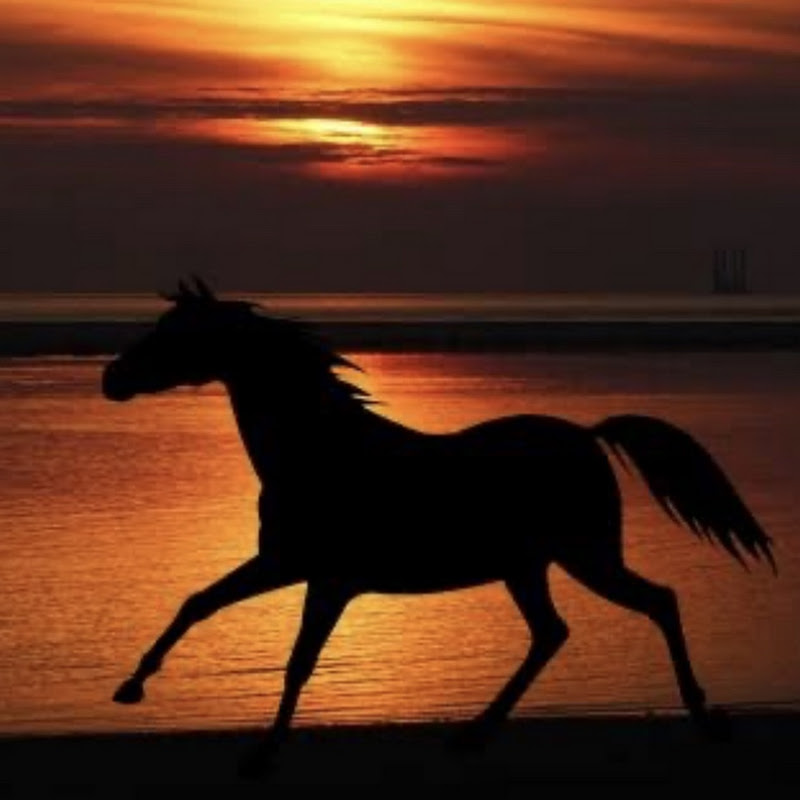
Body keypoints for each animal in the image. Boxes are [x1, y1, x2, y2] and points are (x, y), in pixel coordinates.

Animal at [102, 278, 775, 775]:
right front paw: (132, 687)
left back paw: (701, 715)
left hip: (584, 556)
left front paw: (262, 754)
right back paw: (474, 736)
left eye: (174, 334)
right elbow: (199, 602)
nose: (111, 379)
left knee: (657, 602)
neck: (322, 451)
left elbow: (298, 661)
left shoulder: (324, 580)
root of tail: (587, 435)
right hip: (528, 567)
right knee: (552, 633)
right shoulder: (285, 565)